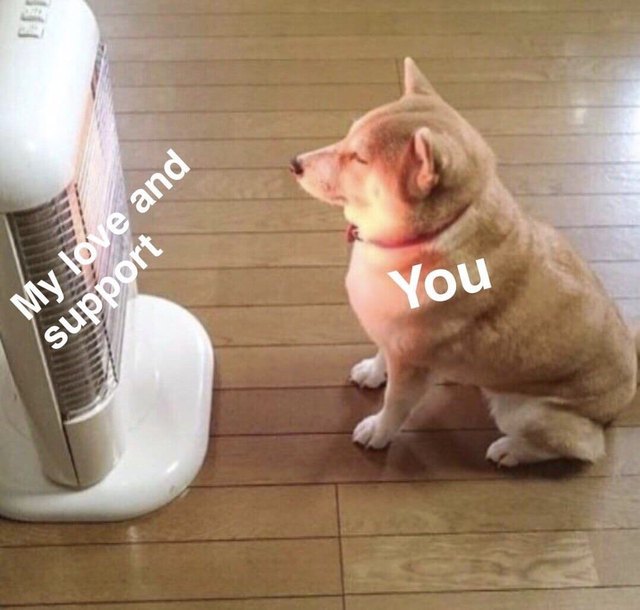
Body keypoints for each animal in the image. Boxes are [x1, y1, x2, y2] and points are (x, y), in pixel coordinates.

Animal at [292, 58, 640, 466]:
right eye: (347, 136)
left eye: (359, 158)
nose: (295, 163)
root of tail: (628, 385)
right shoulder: (394, 338)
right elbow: (381, 353)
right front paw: (374, 371)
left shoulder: (412, 366)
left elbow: (395, 406)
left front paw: (379, 431)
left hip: (525, 411)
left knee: (583, 448)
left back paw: (511, 450)